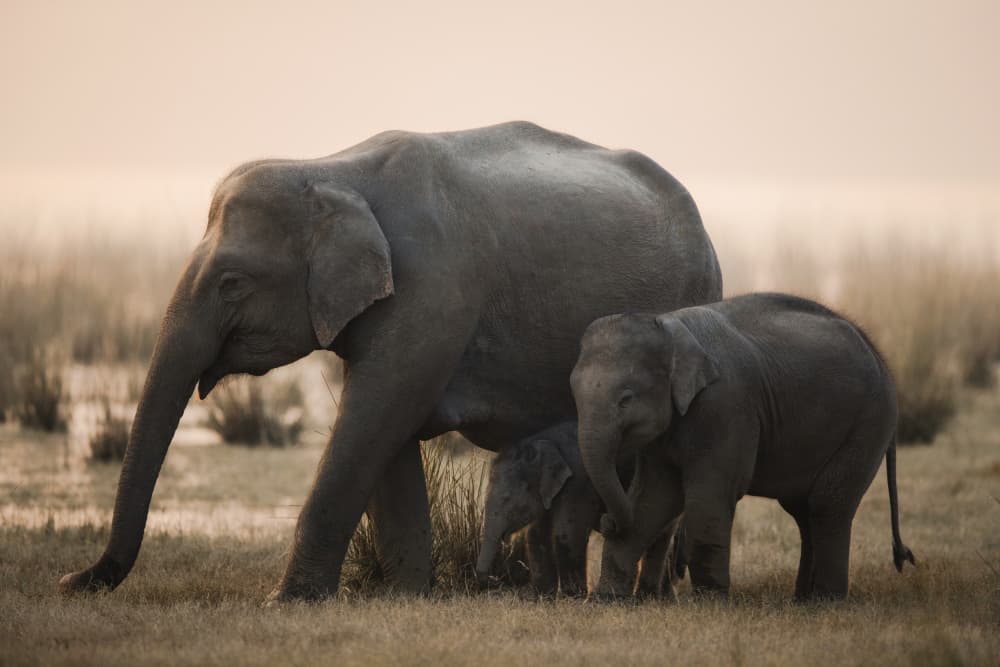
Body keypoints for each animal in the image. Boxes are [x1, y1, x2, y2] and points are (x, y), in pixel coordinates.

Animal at [474, 422, 684, 597]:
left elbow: (568, 532)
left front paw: (573, 597)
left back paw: (646, 597)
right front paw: (543, 596)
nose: (495, 580)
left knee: (659, 537)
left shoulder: (580, 483)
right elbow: (537, 535)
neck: (546, 441)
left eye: (507, 499)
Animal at [570, 293, 916, 601]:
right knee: (804, 511)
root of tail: (881, 357)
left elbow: (710, 496)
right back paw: (802, 599)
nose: (607, 522)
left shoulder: (725, 407)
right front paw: (607, 599)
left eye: (625, 399)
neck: (668, 325)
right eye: (573, 393)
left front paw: (710, 600)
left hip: (868, 424)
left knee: (827, 505)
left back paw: (826, 601)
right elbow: (653, 497)